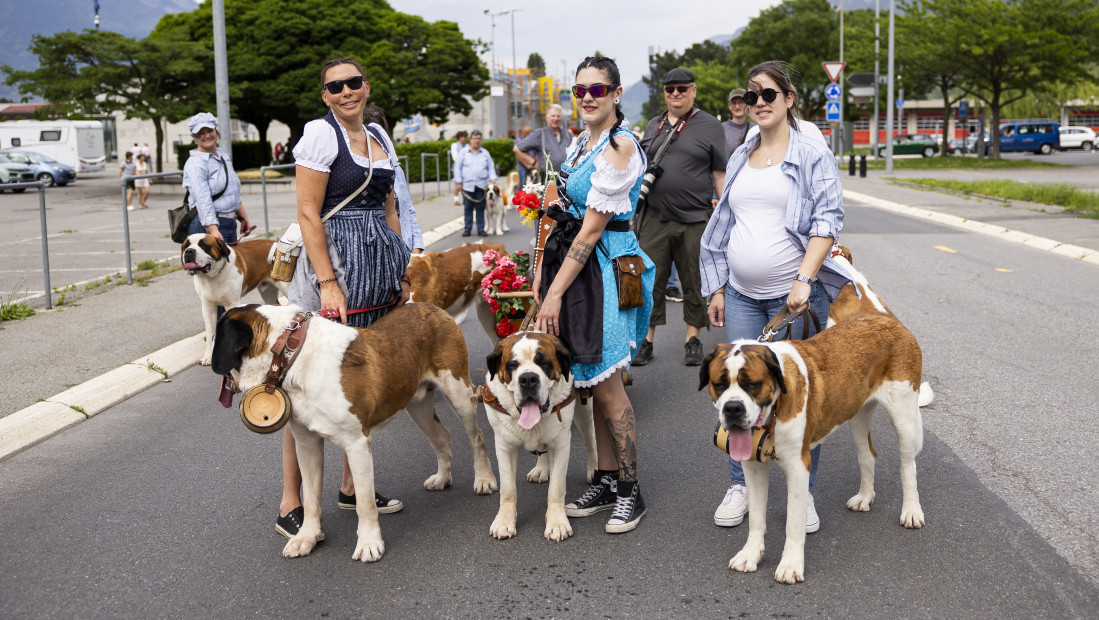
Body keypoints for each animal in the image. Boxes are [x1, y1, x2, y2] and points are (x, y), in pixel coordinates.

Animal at [179, 234, 287, 367]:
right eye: (186, 246)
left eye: (204, 245)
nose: (189, 251)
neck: (213, 277)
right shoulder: (208, 307)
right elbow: (210, 333)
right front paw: (208, 357)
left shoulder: (232, 304)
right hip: (267, 292)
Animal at [211, 301, 503, 562]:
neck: (288, 351)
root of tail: (431, 307)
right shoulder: (306, 444)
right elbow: (311, 498)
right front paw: (306, 538)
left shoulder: (356, 444)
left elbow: (364, 502)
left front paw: (369, 544)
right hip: (417, 405)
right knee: (441, 437)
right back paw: (442, 478)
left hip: (459, 392)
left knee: (476, 437)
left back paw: (484, 480)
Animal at [485, 331, 597, 540]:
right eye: (512, 365)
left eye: (543, 362)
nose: (528, 378)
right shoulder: (504, 445)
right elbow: (508, 488)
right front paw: (504, 522)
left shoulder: (561, 443)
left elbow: (556, 488)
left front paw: (557, 523)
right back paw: (541, 469)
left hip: (584, 410)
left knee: (591, 438)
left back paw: (594, 469)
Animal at [698, 312, 923, 584]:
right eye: (719, 384)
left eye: (752, 384)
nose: (732, 408)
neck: (775, 408)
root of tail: (889, 319)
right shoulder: (753, 467)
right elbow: (756, 518)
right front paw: (750, 555)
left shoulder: (798, 467)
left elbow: (793, 522)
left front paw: (790, 565)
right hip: (857, 416)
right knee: (868, 455)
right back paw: (864, 497)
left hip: (904, 417)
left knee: (908, 466)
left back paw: (911, 511)